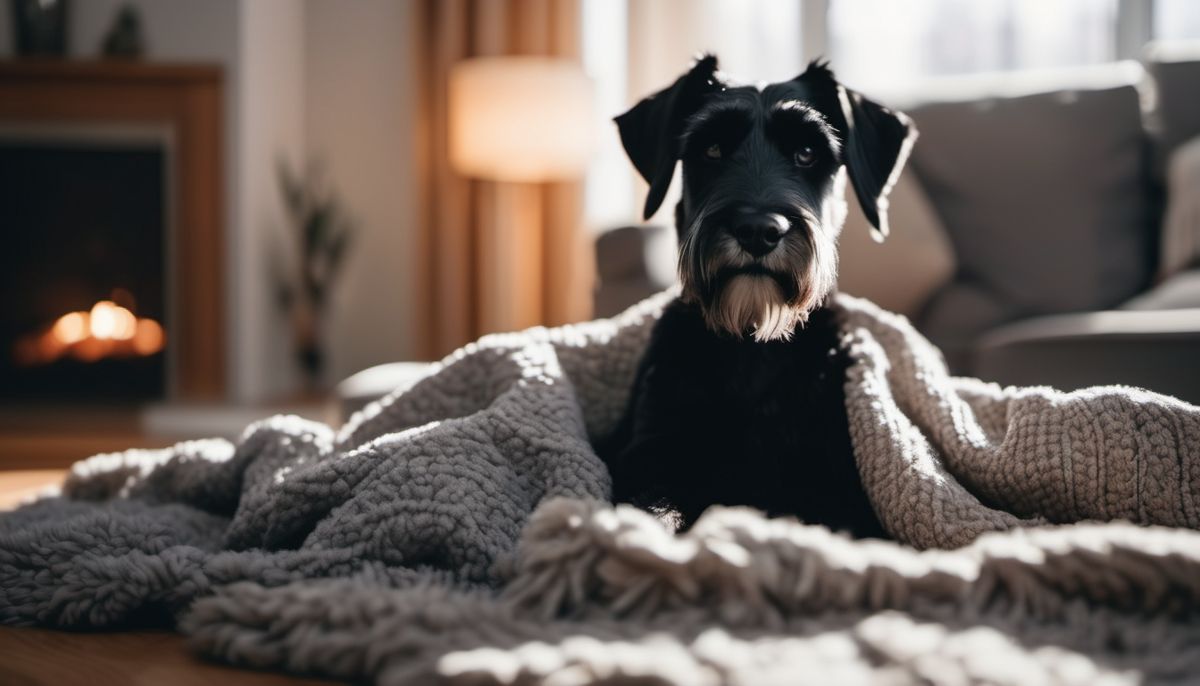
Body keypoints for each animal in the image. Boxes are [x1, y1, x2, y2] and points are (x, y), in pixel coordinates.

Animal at [600, 56, 916, 534]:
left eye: (808, 152)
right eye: (711, 149)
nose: (758, 230)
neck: (751, 345)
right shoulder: (652, 456)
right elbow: (652, 510)